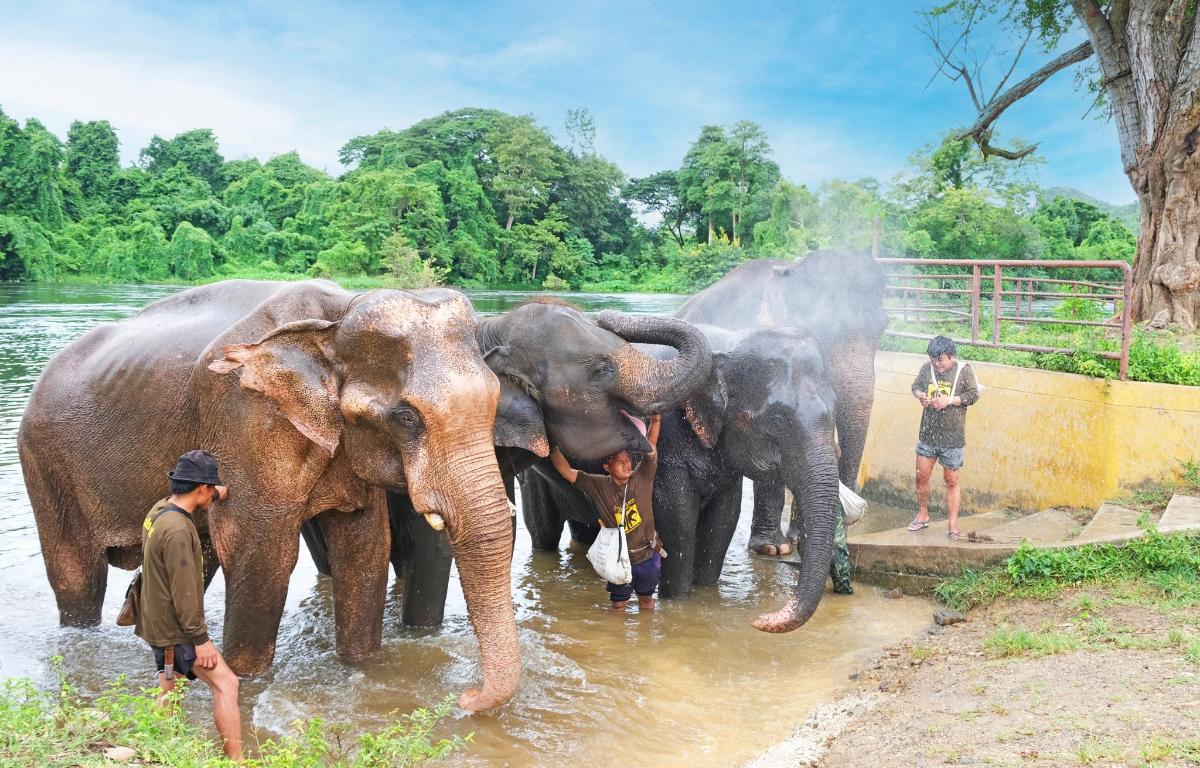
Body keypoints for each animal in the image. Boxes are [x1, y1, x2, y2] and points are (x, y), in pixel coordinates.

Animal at [15, 280, 535, 715]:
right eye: (407, 418)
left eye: (494, 403)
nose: (465, 697)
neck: (335, 318)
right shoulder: (247, 422)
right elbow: (262, 555)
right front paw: (245, 682)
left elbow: (364, 549)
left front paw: (363, 667)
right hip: (45, 464)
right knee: (78, 578)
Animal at [520, 324, 840, 628]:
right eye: (776, 421)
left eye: (836, 411)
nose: (758, 620)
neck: (726, 345)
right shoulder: (668, 455)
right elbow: (678, 521)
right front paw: (677, 601)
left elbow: (723, 521)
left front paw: (706, 592)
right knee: (543, 533)